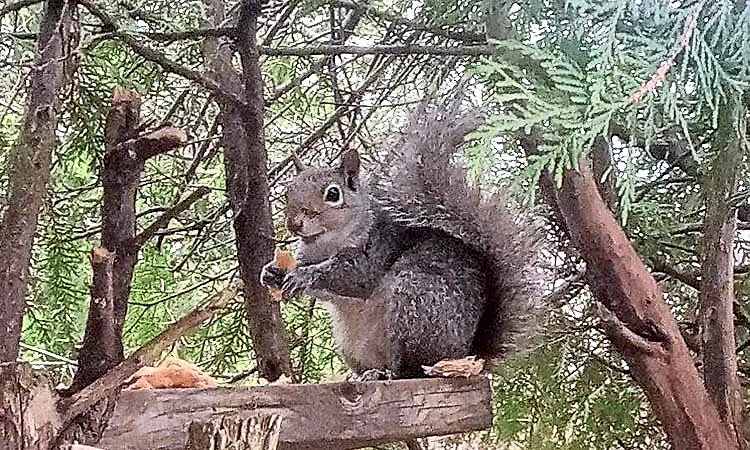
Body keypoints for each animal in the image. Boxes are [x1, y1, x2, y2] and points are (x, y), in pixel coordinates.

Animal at [261, 104, 543, 380]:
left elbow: (355, 277)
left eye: (333, 194)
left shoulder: (377, 248)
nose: (294, 224)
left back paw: (384, 375)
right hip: (352, 343)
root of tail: (468, 353)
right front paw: (272, 273)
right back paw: (363, 374)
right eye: (289, 190)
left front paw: (304, 276)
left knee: (411, 369)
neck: (327, 242)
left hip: (414, 303)